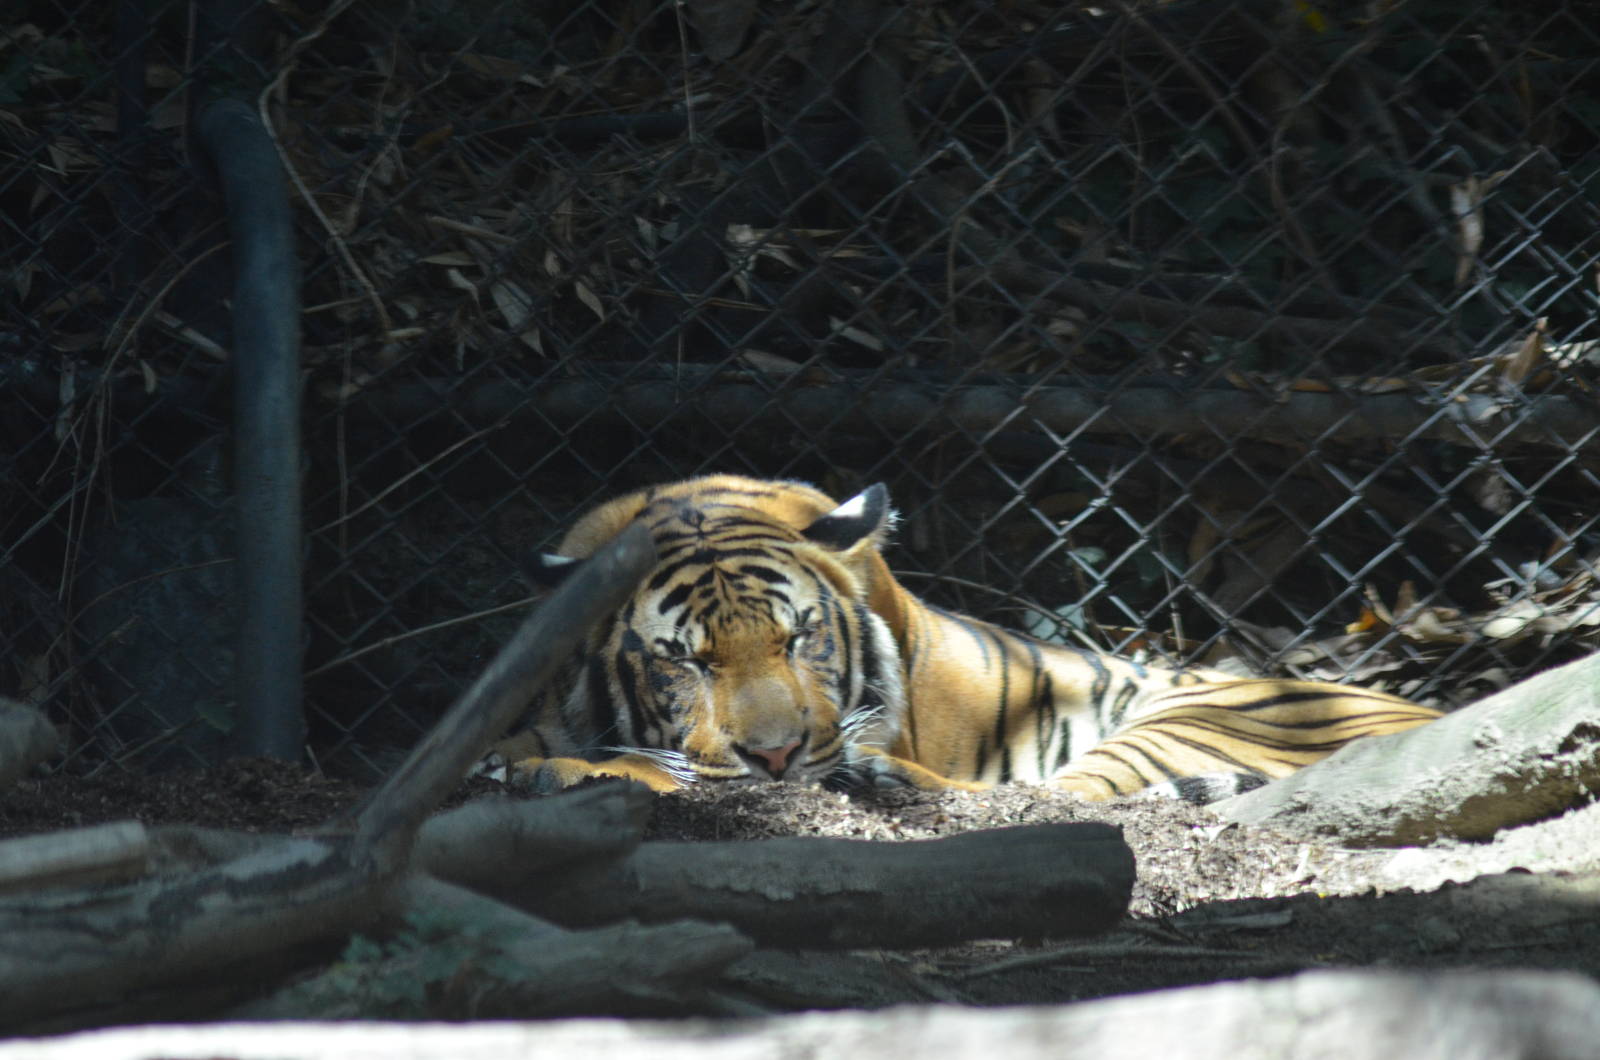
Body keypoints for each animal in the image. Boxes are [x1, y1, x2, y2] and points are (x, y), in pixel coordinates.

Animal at [494, 475, 1441, 800]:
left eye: (801, 639)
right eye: (685, 662)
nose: (776, 756)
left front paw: (556, 771)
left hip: (1206, 719)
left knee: (1053, 803)